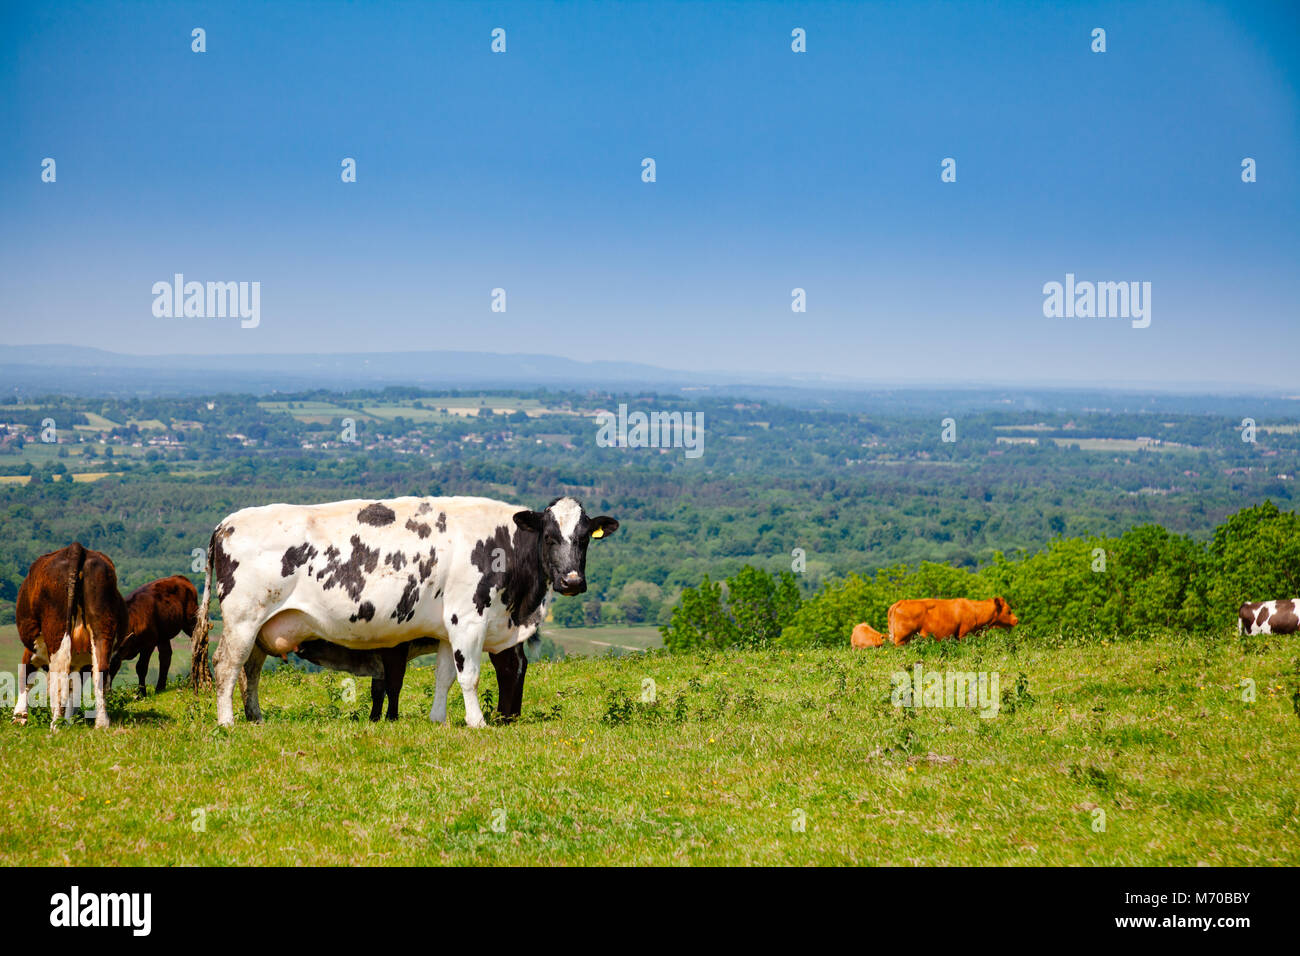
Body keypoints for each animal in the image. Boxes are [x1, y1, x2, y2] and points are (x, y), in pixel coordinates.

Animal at [12, 543, 128, 728]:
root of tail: (76, 548)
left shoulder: (32, 649)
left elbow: (26, 674)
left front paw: (19, 715)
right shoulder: (81, 665)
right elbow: (74, 689)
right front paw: (69, 720)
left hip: (56, 628)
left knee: (59, 675)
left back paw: (56, 725)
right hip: (102, 625)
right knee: (101, 671)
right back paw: (101, 723)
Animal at [192, 495, 618, 728]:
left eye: (584, 538)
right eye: (550, 536)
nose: (573, 581)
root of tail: (227, 522)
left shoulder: (448, 627)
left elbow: (445, 677)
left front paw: (438, 719)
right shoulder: (469, 620)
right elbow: (470, 677)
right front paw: (477, 721)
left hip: (264, 626)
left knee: (251, 670)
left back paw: (256, 716)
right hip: (242, 619)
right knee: (227, 665)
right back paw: (227, 721)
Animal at [851, 597, 1018, 648]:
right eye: (1009, 611)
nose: (1016, 620)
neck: (975, 610)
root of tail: (900, 603)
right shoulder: (963, 634)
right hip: (901, 639)